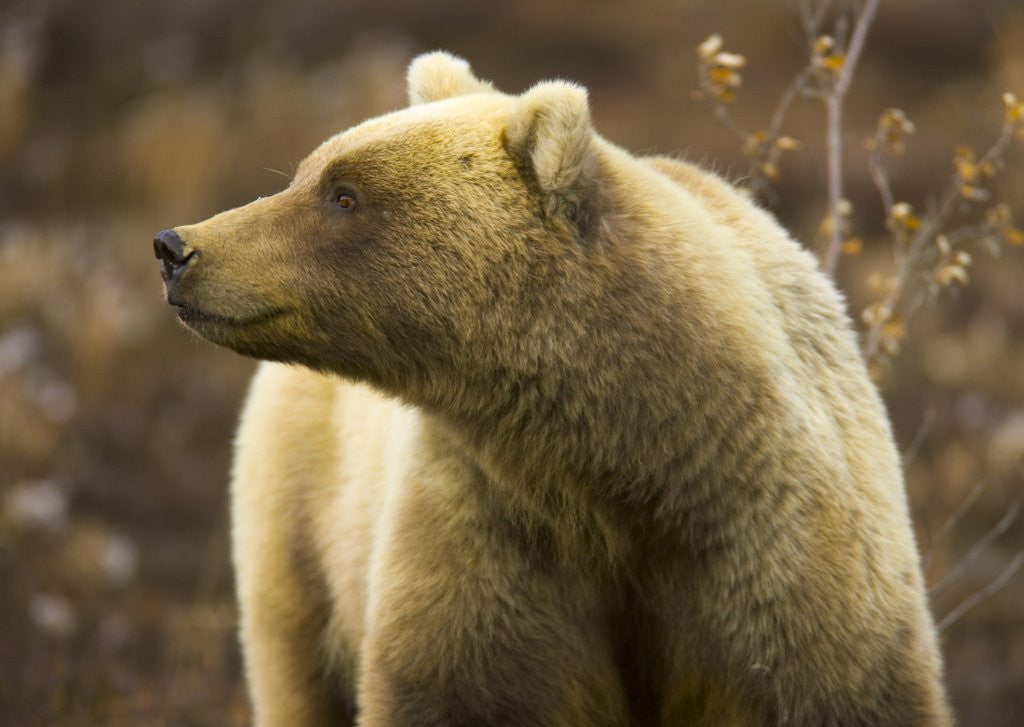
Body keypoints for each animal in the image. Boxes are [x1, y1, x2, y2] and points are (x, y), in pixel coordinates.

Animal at [153, 51, 952, 726]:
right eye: (308, 172)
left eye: (343, 194)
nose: (176, 245)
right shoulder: (492, 540)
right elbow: (461, 689)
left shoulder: (780, 567)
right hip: (298, 525)